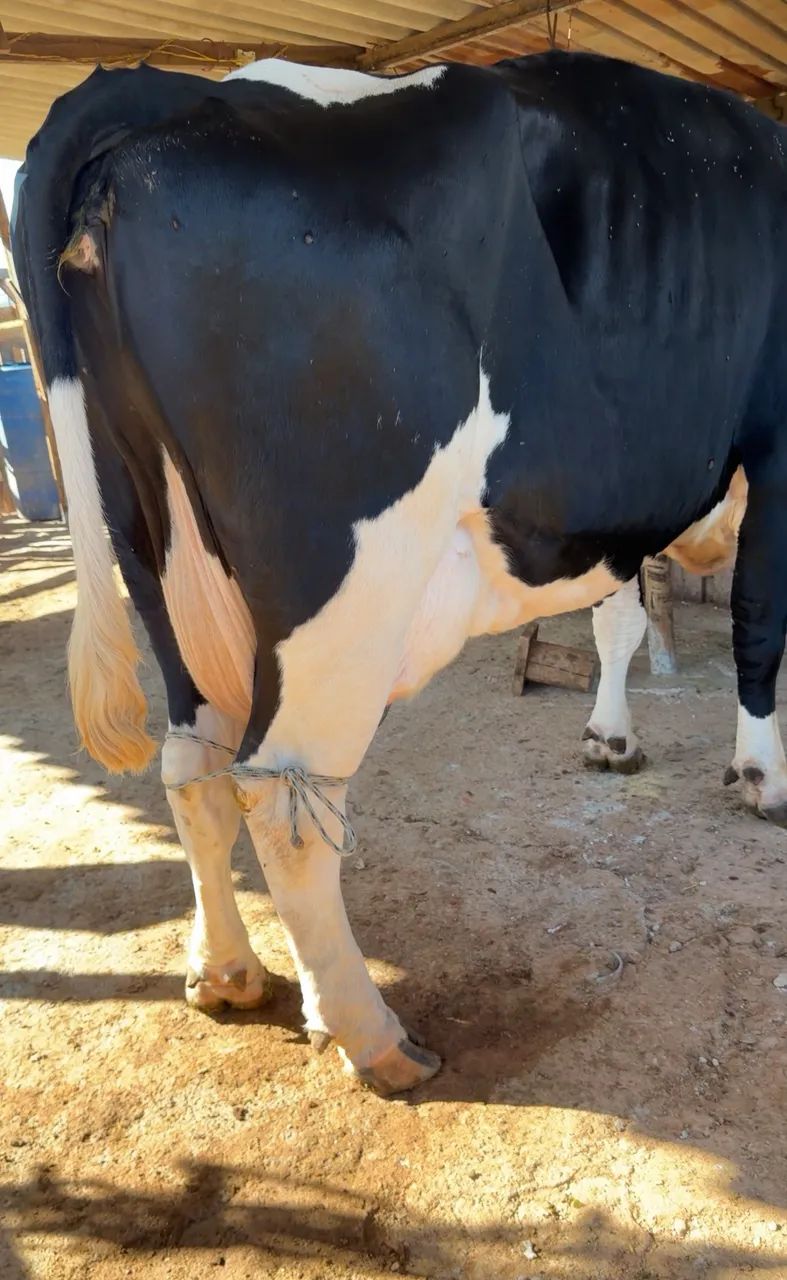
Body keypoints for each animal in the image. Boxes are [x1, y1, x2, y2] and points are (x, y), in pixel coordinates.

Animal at [12, 50, 787, 1095]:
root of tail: (171, 88)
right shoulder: (774, 443)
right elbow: (758, 620)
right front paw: (760, 776)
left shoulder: (618, 502)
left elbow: (616, 622)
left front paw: (611, 739)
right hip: (341, 592)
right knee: (284, 797)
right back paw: (370, 1033)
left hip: (158, 554)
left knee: (192, 766)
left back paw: (227, 974)